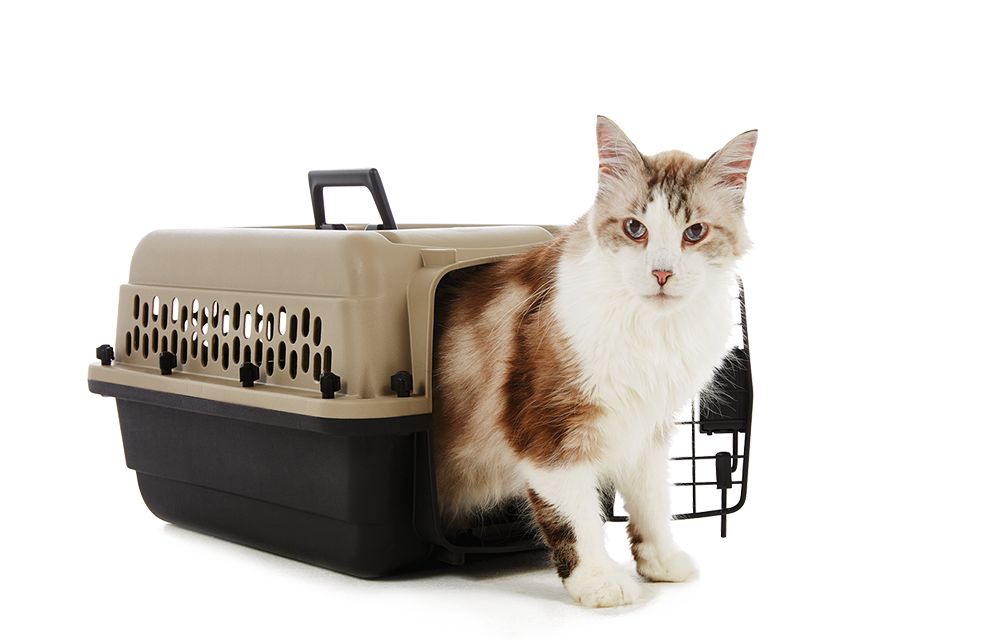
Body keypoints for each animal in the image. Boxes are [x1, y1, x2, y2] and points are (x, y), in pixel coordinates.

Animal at [431, 116, 756, 607]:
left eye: (695, 232)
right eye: (635, 229)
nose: (662, 273)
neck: (652, 331)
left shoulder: (649, 426)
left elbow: (652, 499)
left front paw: (660, 561)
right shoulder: (550, 431)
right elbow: (577, 517)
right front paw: (597, 580)